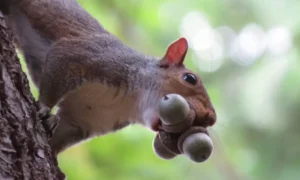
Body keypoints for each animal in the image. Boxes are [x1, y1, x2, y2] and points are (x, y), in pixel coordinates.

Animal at [0, 0, 216, 155]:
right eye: (190, 78)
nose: (211, 118)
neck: (128, 102)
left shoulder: (84, 120)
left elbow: (63, 133)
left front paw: (52, 131)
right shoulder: (91, 57)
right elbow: (62, 57)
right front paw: (44, 108)